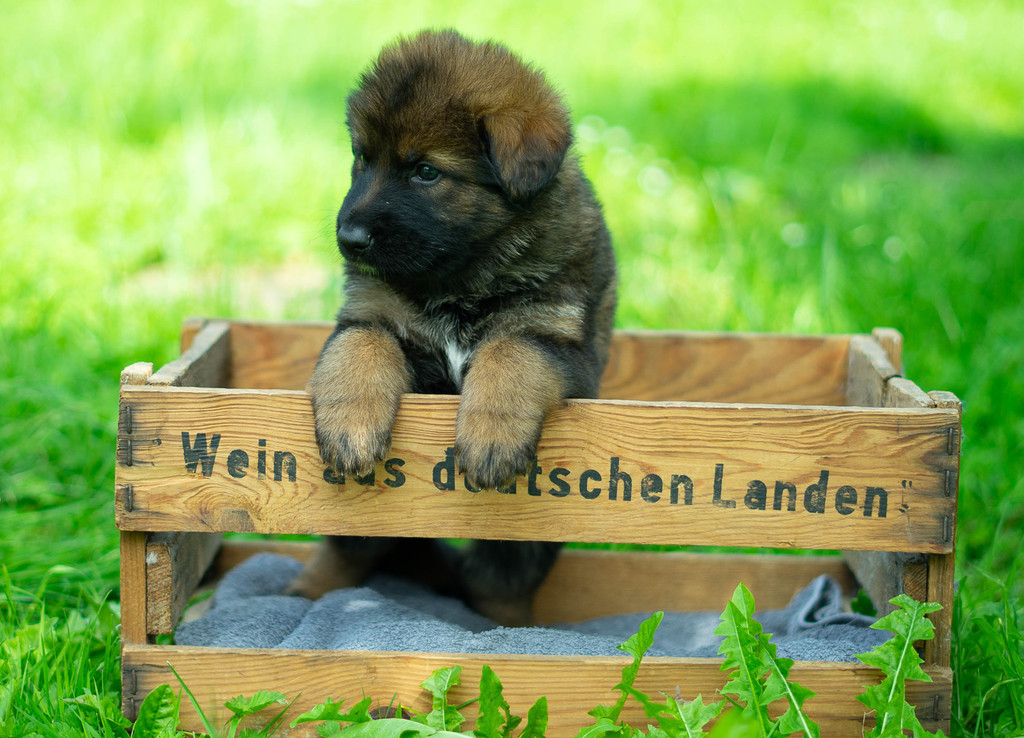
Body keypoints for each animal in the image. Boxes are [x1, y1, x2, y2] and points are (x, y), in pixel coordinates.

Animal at [287, 29, 616, 625]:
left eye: (426, 171)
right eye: (361, 159)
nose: (349, 239)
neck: (459, 282)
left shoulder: (559, 342)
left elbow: (509, 352)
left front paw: (490, 436)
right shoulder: (371, 315)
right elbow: (361, 345)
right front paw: (351, 426)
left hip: (526, 540)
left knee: (498, 579)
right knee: (350, 551)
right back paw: (306, 592)